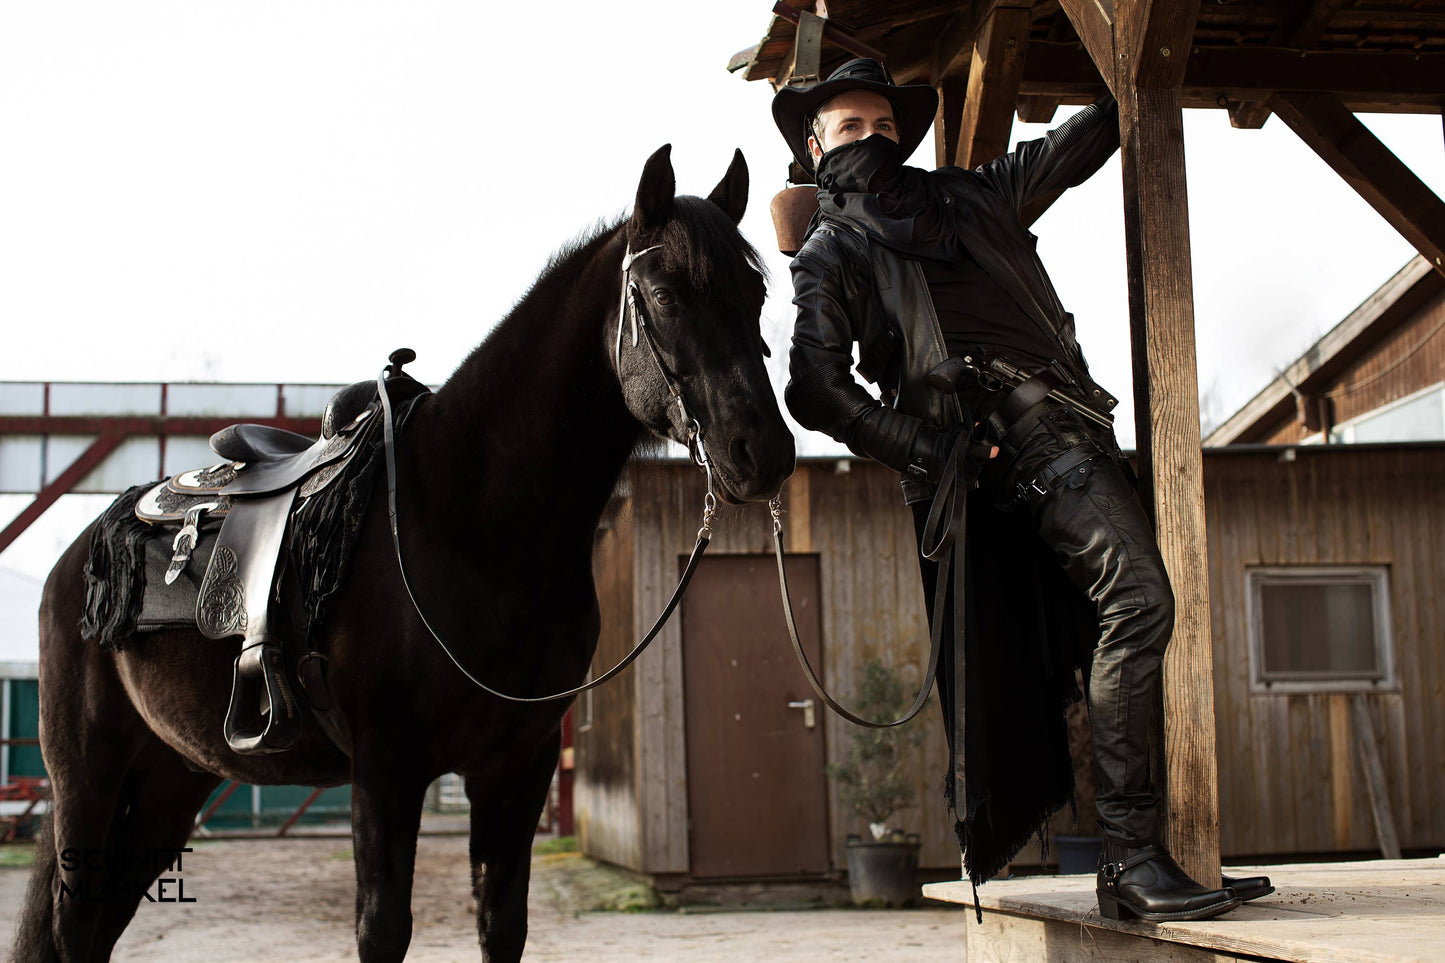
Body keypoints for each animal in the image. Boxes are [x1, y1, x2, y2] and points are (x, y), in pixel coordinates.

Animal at [16, 146, 797, 954]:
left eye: (755, 292)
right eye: (666, 295)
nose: (763, 452)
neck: (469, 523)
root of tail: (76, 558)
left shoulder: (516, 769)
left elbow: (502, 922)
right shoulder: (386, 769)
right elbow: (383, 926)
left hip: (171, 778)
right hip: (88, 777)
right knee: (73, 925)